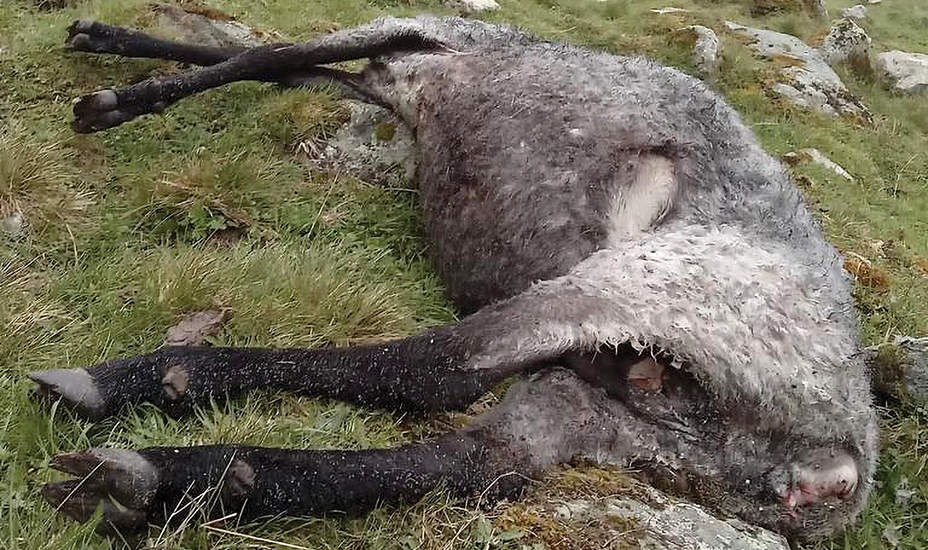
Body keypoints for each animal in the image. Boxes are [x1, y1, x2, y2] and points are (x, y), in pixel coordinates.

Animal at [30, 15, 877, 542]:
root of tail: (837, 466)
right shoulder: (391, 67)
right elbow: (291, 65)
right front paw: (108, 48)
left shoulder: (419, 25)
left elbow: (267, 58)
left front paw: (112, 94)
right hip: (621, 424)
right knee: (474, 459)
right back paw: (169, 480)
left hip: (648, 287)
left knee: (436, 368)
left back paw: (127, 392)